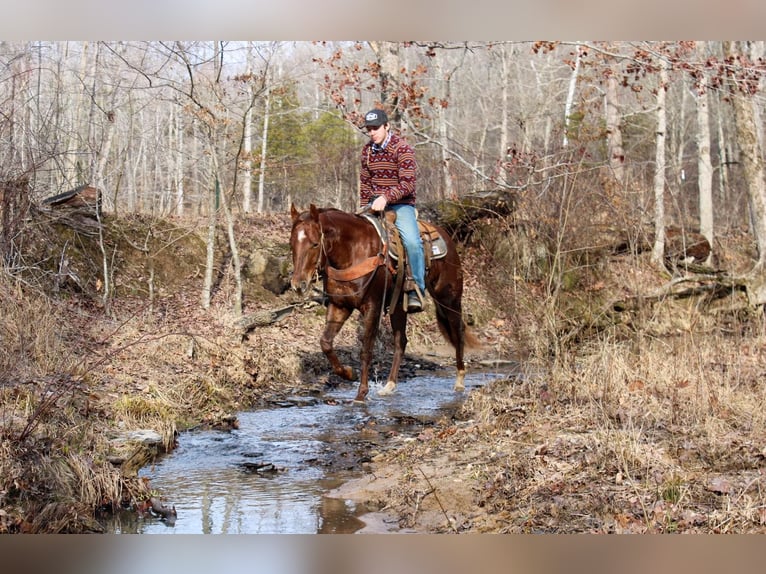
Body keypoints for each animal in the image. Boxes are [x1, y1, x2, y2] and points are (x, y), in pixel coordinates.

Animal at [292, 205, 476, 402]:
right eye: (291, 243)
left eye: (314, 244)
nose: (298, 285)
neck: (354, 251)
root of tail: (445, 236)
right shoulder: (340, 305)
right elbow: (325, 343)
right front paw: (349, 373)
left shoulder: (372, 306)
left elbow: (366, 350)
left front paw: (361, 393)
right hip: (399, 307)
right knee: (400, 342)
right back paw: (389, 385)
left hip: (449, 298)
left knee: (458, 332)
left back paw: (460, 380)